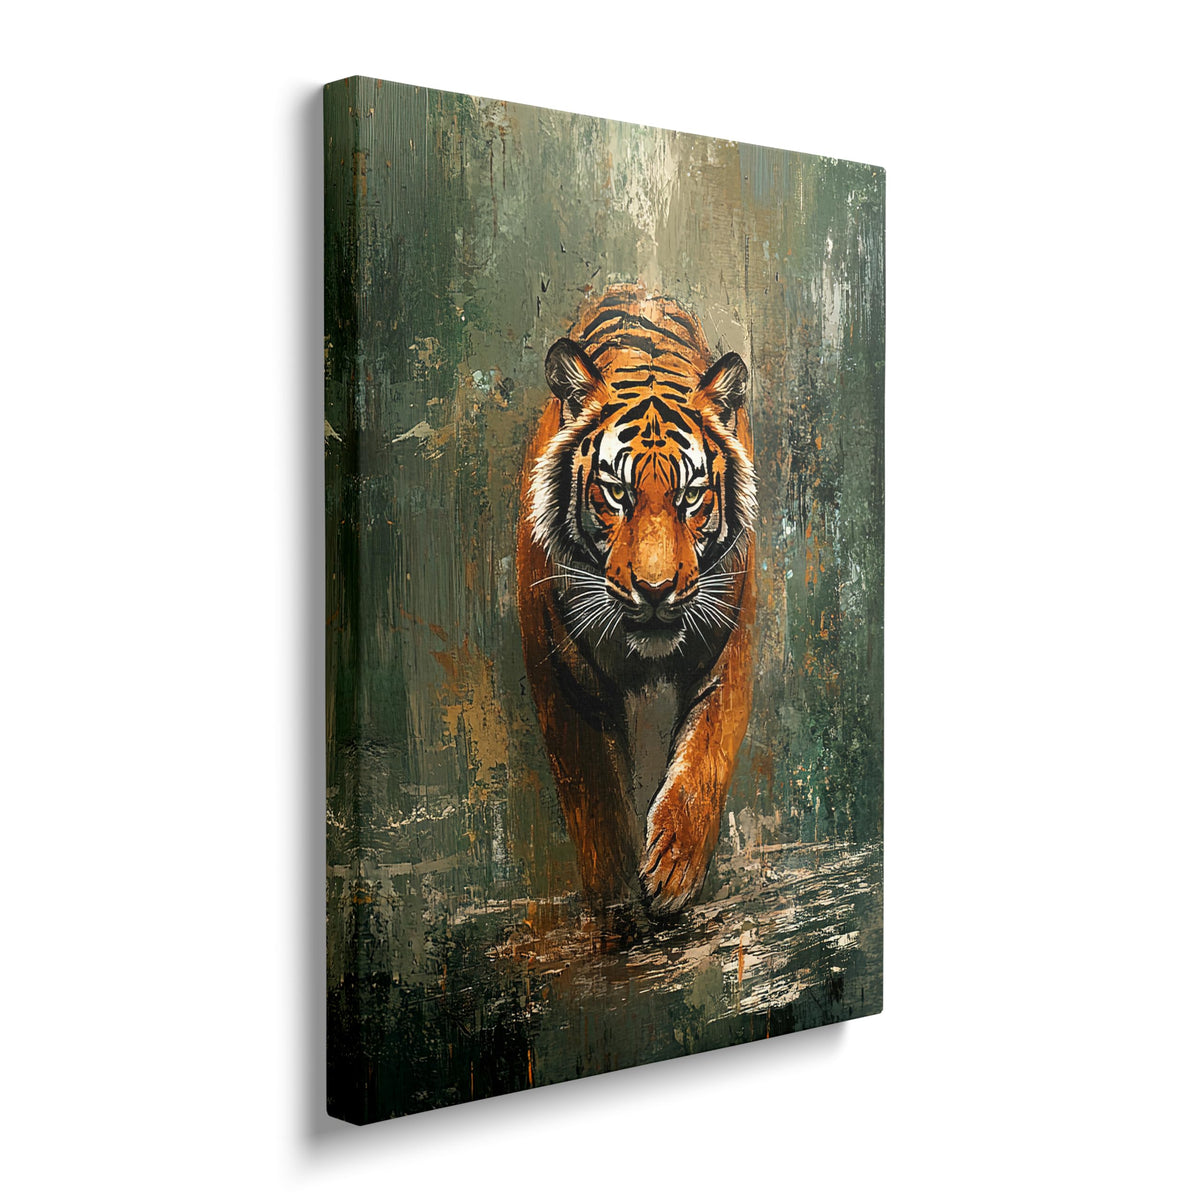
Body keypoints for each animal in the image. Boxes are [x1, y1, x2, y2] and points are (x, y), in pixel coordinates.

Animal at [515, 283, 757, 914]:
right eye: (617, 494)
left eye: (690, 495)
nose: (654, 590)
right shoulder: (562, 667)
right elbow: (594, 789)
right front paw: (611, 890)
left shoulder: (726, 650)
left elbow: (703, 757)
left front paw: (673, 871)